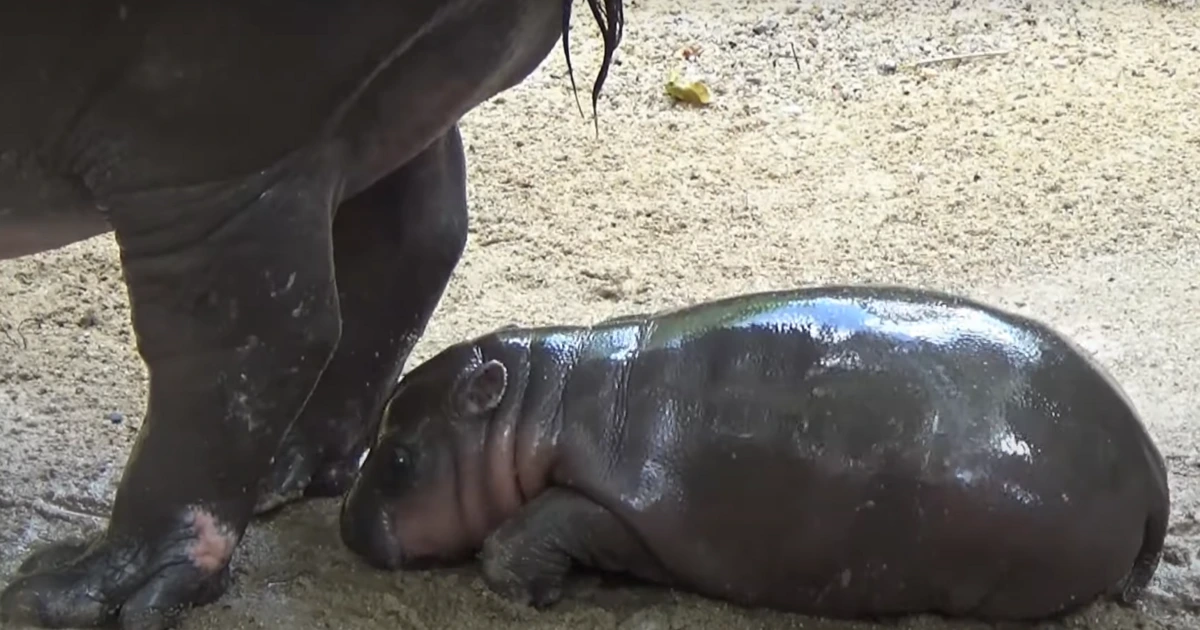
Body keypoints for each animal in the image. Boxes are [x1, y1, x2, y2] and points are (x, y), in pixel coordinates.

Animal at [0, 1, 623, 628]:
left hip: (199, 133)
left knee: (248, 339)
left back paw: (67, 591)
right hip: (382, 108)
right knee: (414, 237)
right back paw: (284, 472)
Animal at [339, 285, 1170, 622]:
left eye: (399, 458)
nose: (345, 525)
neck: (536, 407)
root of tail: (1146, 451)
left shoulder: (620, 506)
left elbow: (526, 532)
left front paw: (537, 595)